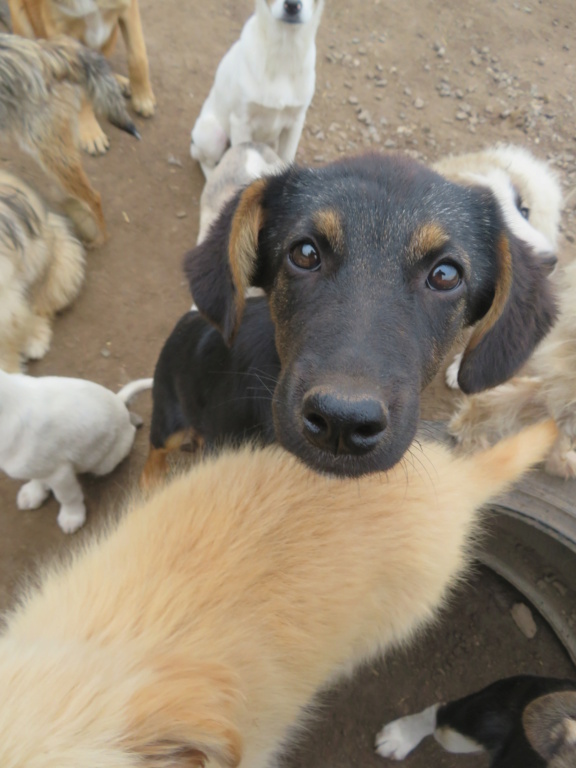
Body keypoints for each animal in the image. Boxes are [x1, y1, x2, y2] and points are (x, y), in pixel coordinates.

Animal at [0, 374, 151, 536]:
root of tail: (119, 401)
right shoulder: (42, 465)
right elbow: (37, 477)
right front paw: (34, 493)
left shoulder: (59, 473)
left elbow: (68, 497)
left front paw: (72, 516)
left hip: (104, 464)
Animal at [189, 0, 324, 176]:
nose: (292, 5)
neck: (284, 51)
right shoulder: (240, 122)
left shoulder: (295, 123)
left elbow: (286, 158)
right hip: (212, 135)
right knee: (207, 162)